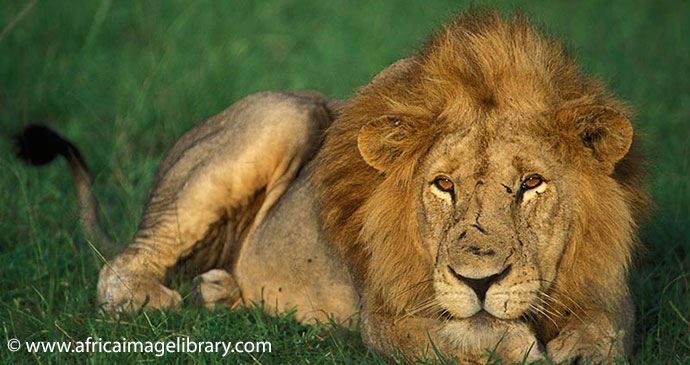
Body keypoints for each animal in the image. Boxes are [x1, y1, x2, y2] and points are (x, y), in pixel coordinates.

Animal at [17, 8, 652, 364]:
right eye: (442, 185)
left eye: (531, 184)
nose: (479, 280)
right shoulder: (387, 316)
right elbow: (459, 337)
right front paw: (518, 346)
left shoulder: (606, 286)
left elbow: (608, 331)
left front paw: (579, 350)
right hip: (284, 113)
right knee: (118, 269)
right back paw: (164, 300)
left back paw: (221, 293)